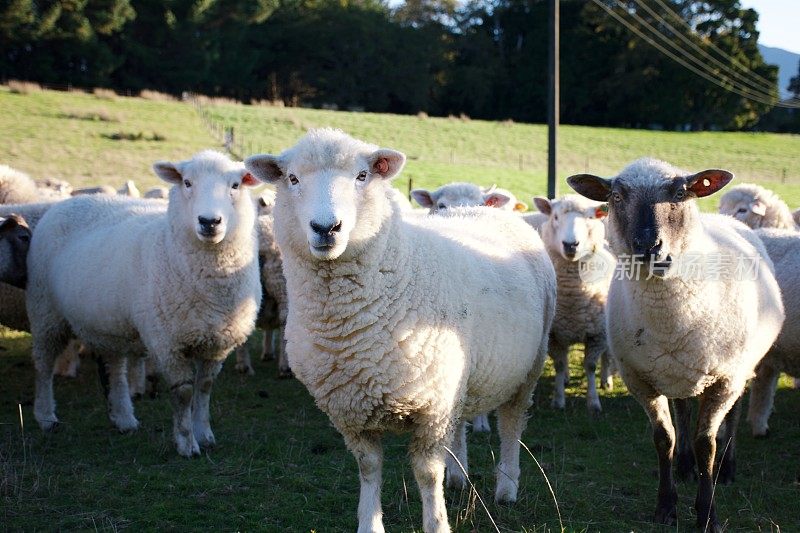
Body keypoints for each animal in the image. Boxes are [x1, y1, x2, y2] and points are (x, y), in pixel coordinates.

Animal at [245, 128, 556, 532]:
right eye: (293, 179)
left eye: (362, 176)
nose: (326, 228)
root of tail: (486, 210)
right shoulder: (352, 409)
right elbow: (368, 468)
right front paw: (369, 523)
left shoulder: (431, 409)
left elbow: (426, 473)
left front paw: (436, 523)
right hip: (459, 377)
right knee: (461, 423)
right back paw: (460, 476)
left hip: (527, 368)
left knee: (512, 426)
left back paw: (506, 486)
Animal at [536, 193, 616, 414]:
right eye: (555, 217)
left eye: (590, 217)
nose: (571, 245)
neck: (573, 298)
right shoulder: (554, 335)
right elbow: (559, 364)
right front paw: (558, 400)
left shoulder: (598, 334)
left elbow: (590, 366)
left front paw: (594, 402)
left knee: (607, 356)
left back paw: (606, 380)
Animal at [564, 156, 784, 528]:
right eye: (616, 196)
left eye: (680, 193)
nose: (650, 248)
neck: (669, 318)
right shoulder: (640, 379)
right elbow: (663, 437)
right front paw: (666, 505)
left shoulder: (725, 380)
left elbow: (706, 443)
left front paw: (707, 513)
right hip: (678, 371)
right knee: (682, 409)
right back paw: (683, 466)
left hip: (742, 367)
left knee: (734, 416)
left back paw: (727, 467)